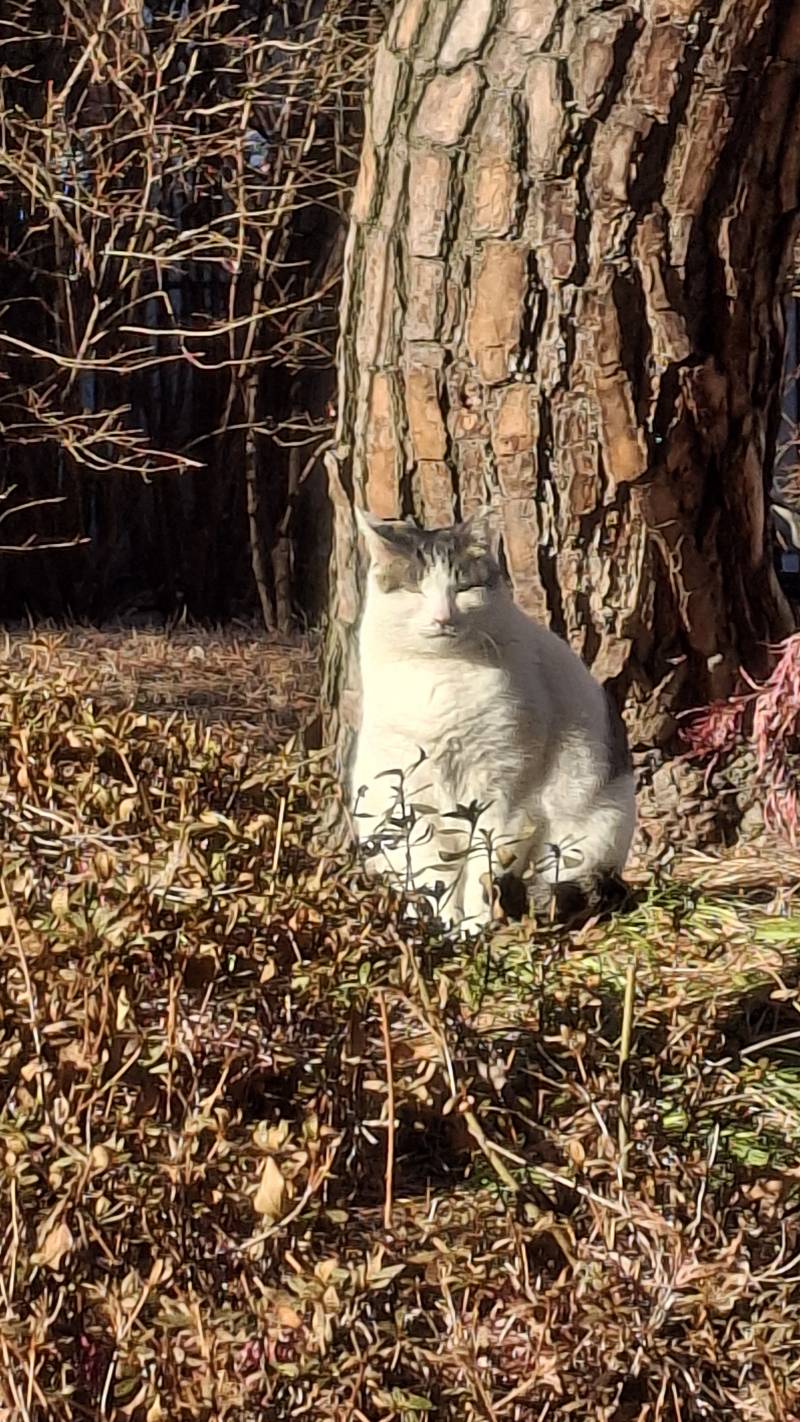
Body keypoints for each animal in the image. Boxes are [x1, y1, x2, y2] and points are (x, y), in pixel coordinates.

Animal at [352, 506, 639, 927]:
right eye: (417, 590)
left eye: (463, 589)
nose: (442, 617)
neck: (441, 673)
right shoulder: (415, 793)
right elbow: (436, 874)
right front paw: (443, 927)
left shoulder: (504, 791)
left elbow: (482, 871)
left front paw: (474, 928)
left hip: (592, 830)